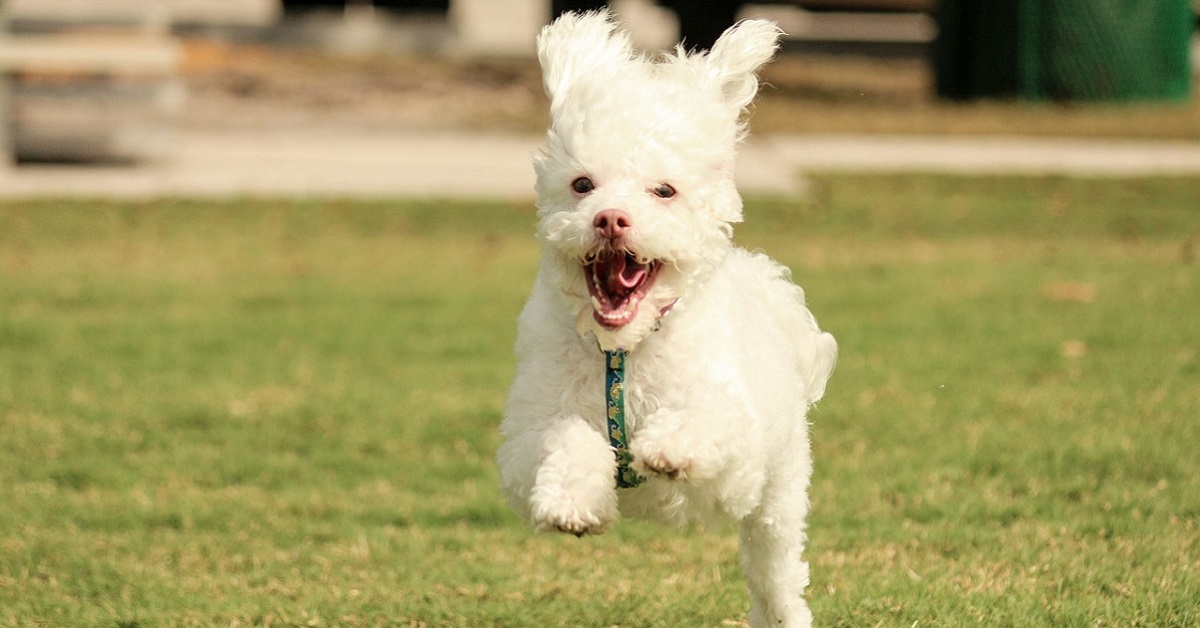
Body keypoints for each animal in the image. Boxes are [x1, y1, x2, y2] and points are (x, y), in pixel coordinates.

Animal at [494, 11, 835, 628]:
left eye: (664, 190)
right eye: (583, 184)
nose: (610, 218)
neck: (622, 350)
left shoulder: (740, 456)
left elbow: (708, 419)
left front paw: (670, 447)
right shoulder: (524, 441)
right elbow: (564, 437)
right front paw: (572, 502)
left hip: (778, 497)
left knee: (776, 574)